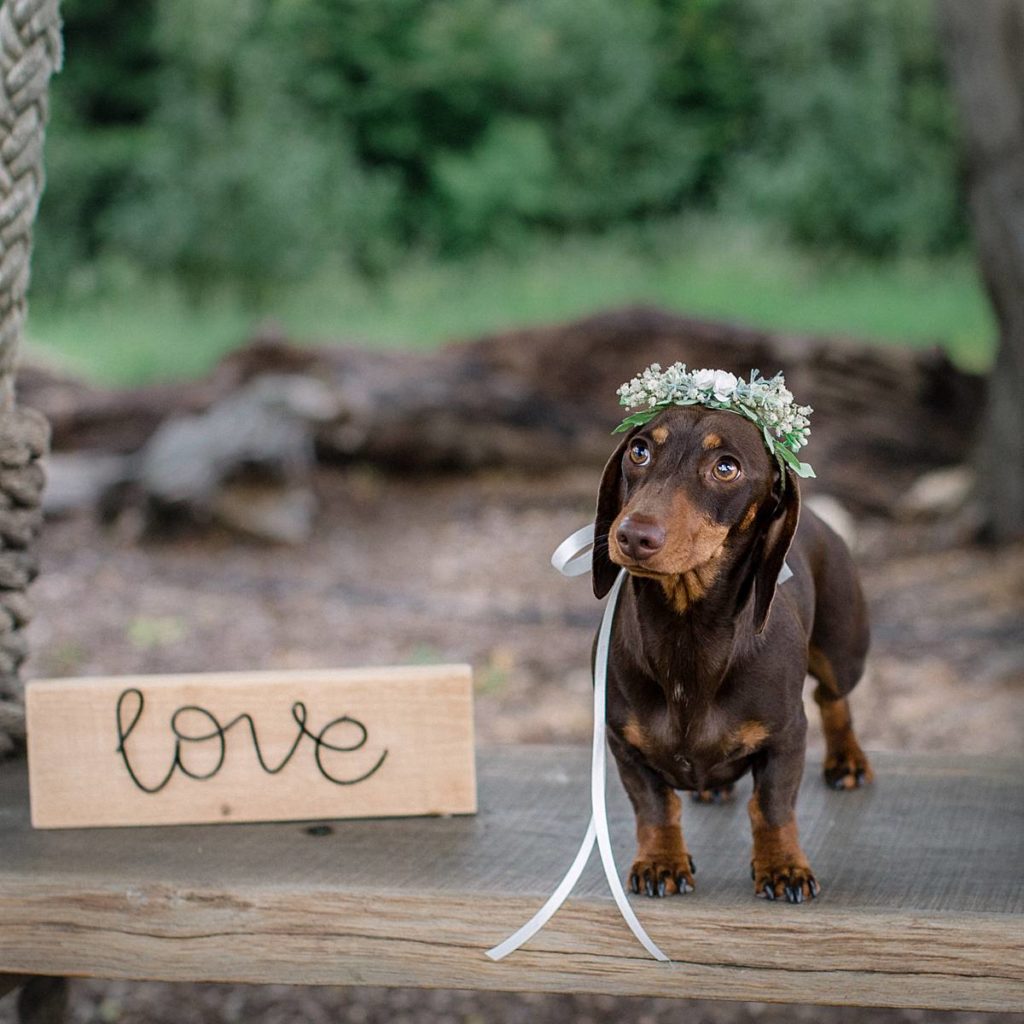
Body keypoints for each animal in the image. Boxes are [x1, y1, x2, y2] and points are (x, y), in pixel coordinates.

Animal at [593, 403, 872, 901]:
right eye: (639, 451)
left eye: (726, 468)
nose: (633, 536)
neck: (686, 633)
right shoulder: (624, 743)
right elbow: (655, 806)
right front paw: (661, 861)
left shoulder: (786, 737)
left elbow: (772, 807)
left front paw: (783, 867)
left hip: (843, 654)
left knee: (832, 698)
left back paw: (847, 761)